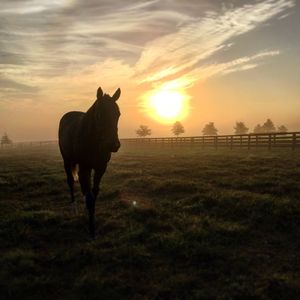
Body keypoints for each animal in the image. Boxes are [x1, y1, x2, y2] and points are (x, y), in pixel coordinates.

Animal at [58, 86, 120, 237]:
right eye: (99, 115)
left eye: (118, 114)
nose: (113, 145)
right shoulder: (84, 167)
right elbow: (90, 196)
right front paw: (91, 229)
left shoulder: (100, 168)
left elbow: (94, 192)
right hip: (67, 160)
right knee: (70, 181)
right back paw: (73, 204)